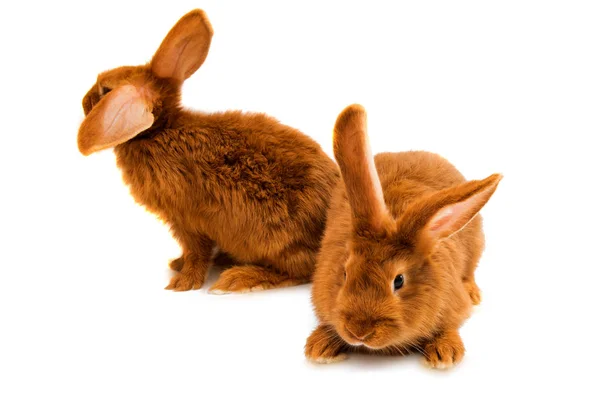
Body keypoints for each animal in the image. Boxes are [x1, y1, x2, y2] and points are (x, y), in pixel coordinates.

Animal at [76, 9, 338, 294]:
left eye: (105, 90)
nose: (83, 101)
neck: (160, 131)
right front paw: (177, 264)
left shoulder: (186, 219)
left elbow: (196, 251)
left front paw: (182, 282)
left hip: (277, 240)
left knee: (300, 271)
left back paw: (238, 279)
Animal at [304, 104, 502, 370]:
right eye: (344, 273)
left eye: (398, 281)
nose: (359, 332)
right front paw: (319, 347)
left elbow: (450, 325)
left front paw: (445, 354)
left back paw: (473, 292)